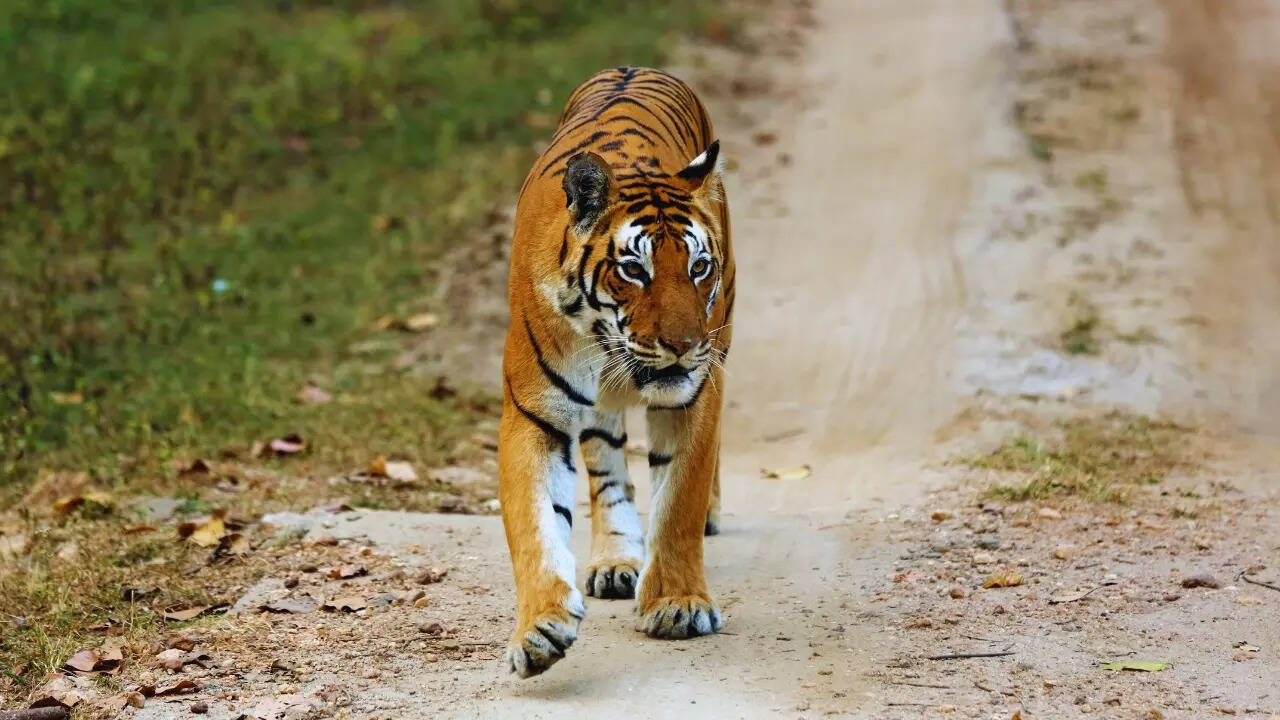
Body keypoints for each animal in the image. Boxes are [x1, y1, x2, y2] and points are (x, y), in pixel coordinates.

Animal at [498, 66, 734, 678]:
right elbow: (534, 523)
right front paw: (539, 628)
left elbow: (678, 501)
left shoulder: (696, 393)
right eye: (634, 269)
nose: (682, 346)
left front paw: (678, 604)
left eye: (699, 267)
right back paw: (616, 559)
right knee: (607, 468)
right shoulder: (535, 413)